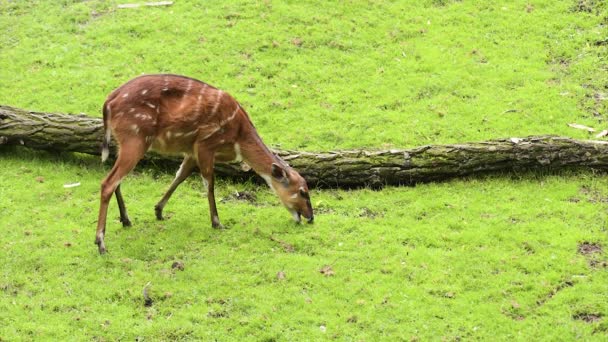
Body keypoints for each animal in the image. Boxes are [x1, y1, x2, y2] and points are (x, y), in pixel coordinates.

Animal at [96, 73, 314, 252]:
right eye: (303, 192)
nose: (311, 217)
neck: (238, 138)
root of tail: (108, 102)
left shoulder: (192, 151)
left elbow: (180, 175)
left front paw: (158, 210)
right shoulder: (205, 143)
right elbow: (209, 183)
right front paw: (217, 222)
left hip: (124, 142)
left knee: (116, 179)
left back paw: (126, 220)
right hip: (135, 137)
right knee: (108, 182)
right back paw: (101, 243)